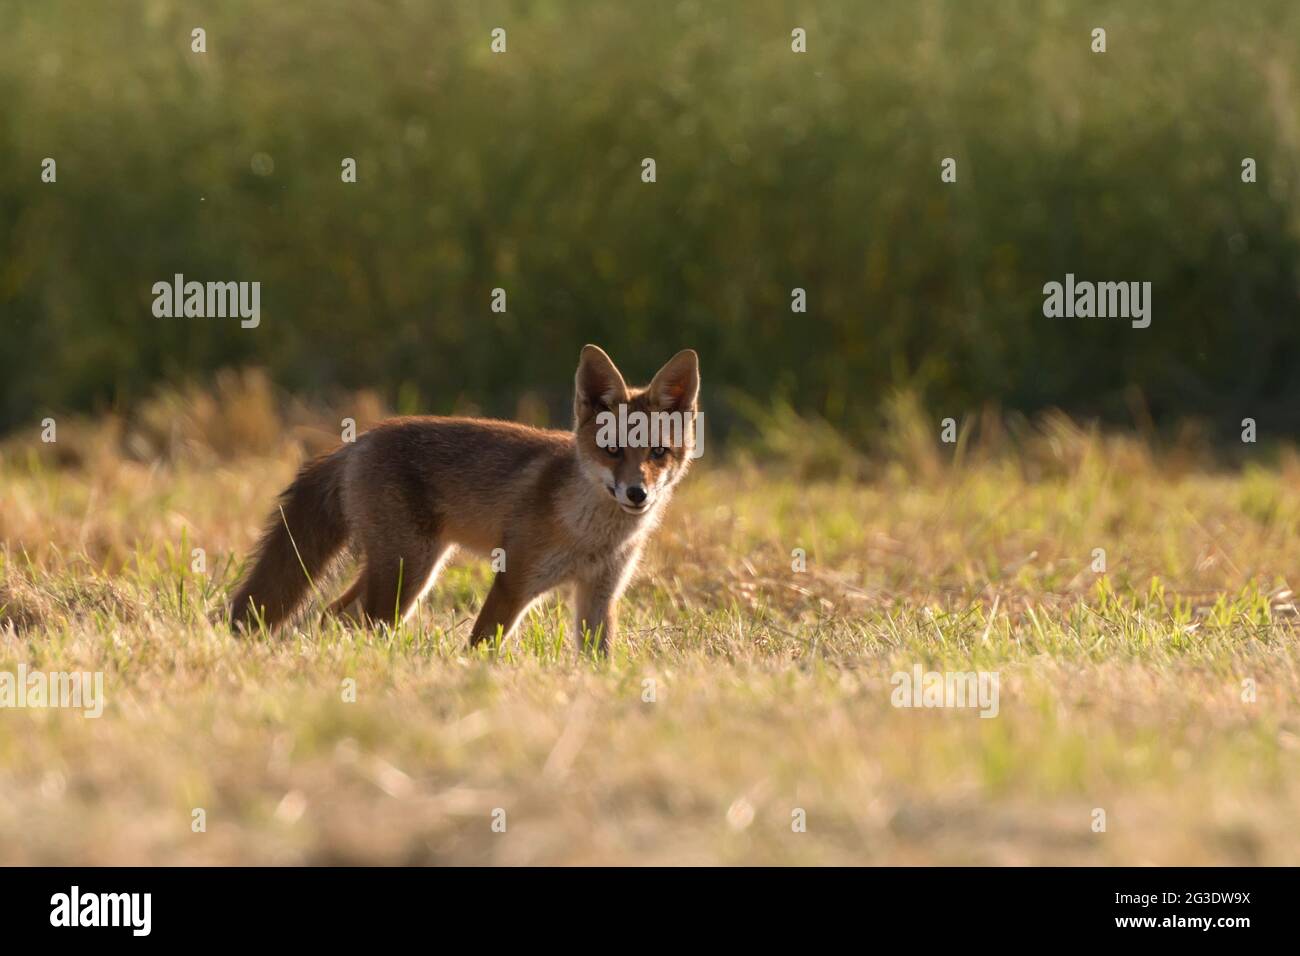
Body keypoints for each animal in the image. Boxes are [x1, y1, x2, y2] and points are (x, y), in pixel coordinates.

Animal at [227, 345, 700, 654]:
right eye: (612, 450)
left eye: (657, 453)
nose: (636, 493)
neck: (591, 536)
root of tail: (360, 439)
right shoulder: (513, 582)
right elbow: (480, 648)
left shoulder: (600, 595)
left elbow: (596, 660)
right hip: (408, 572)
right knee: (360, 622)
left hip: (408, 568)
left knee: (332, 615)